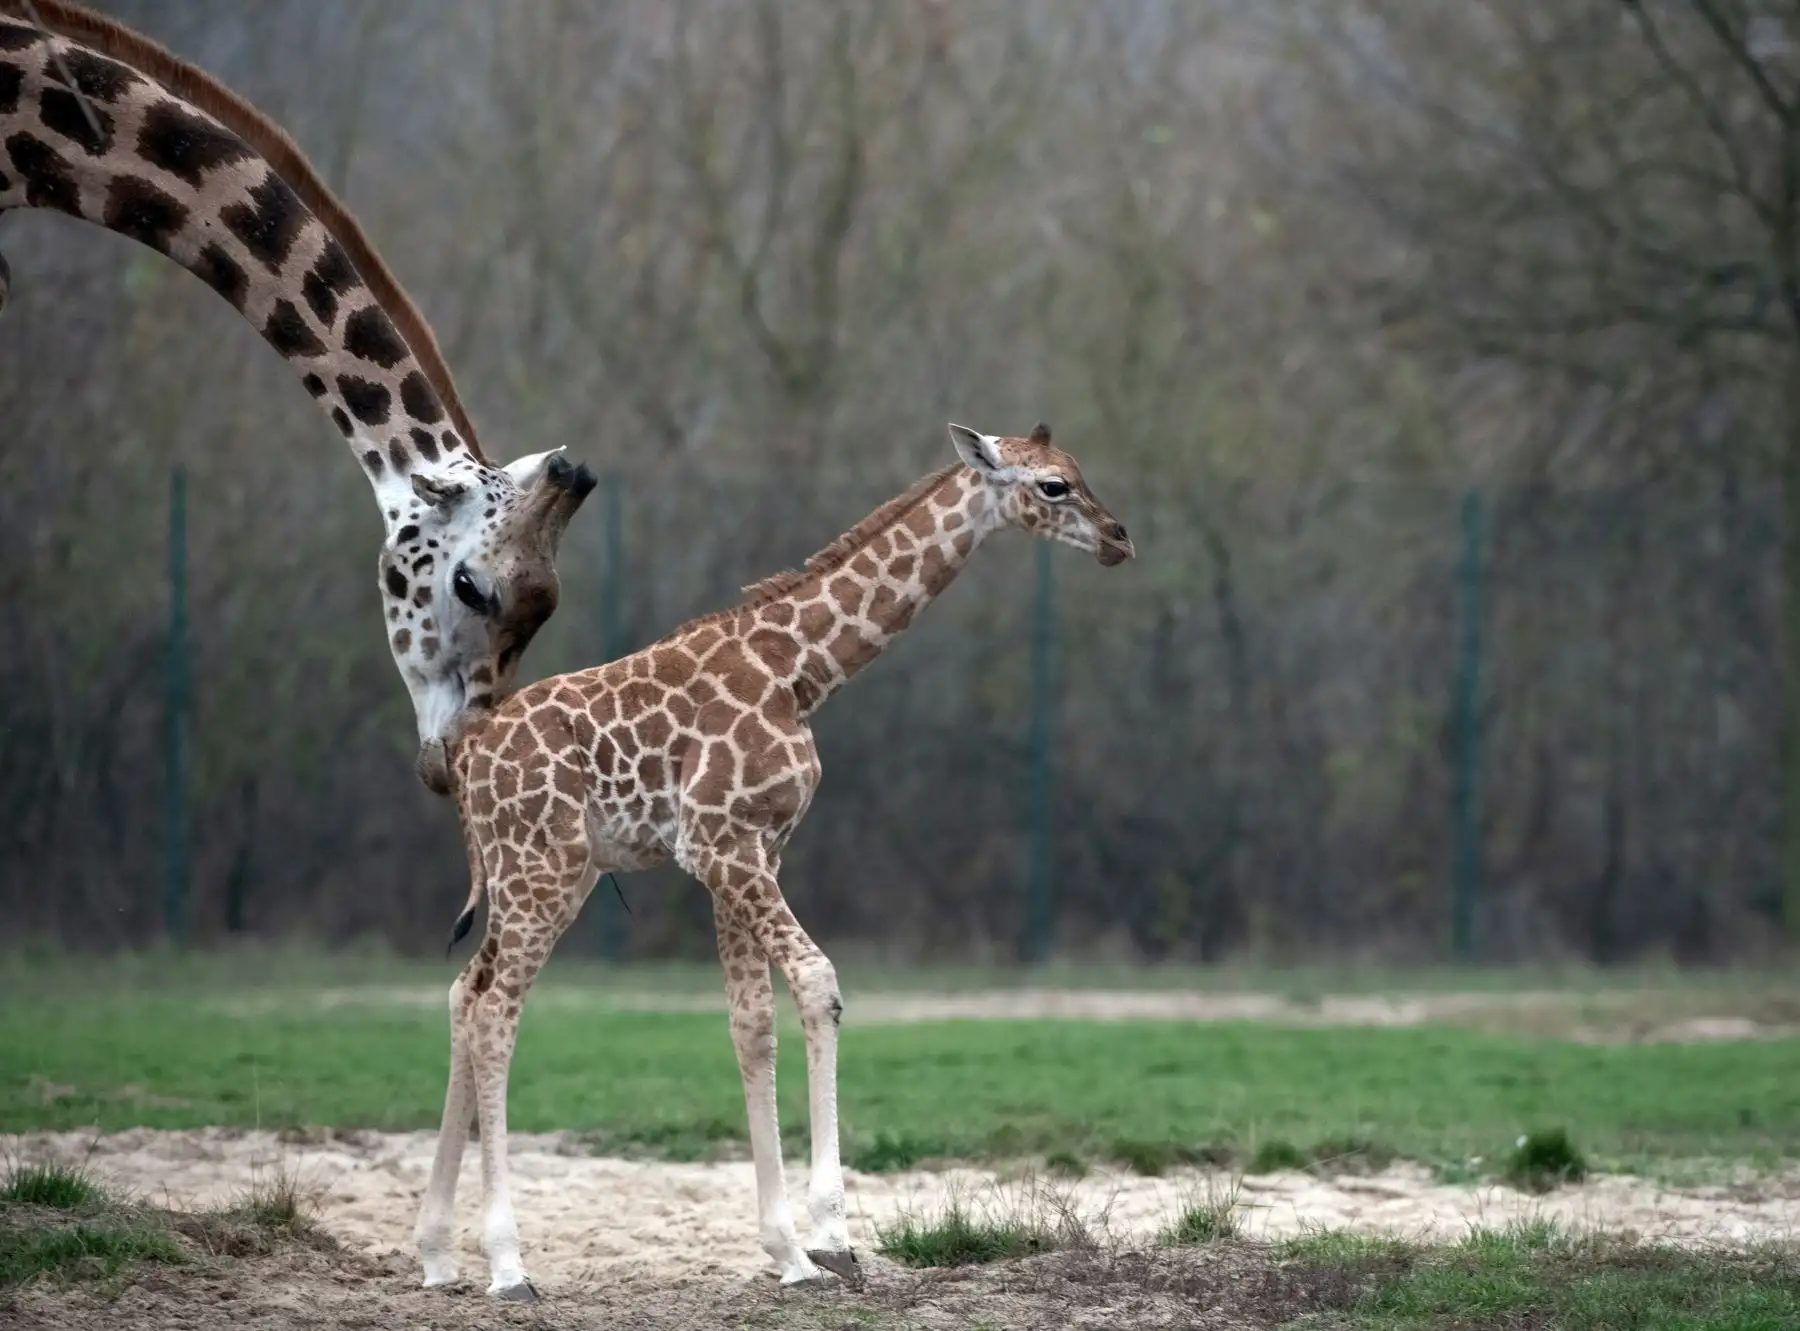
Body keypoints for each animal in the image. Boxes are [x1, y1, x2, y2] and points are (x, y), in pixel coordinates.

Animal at [416, 422, 1135, 1299]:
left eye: (1077, 473)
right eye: (1053, 485)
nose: (1118, 538)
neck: (799, 667)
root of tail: (468, 760)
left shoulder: (755, 845)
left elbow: (751, 1020)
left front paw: (789, 1250)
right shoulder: (718, 841)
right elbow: (819, 983)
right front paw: (830, 1237)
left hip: (548, 871)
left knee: (464, 990)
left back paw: (436, 1252)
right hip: (542, 866)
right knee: (495, 1014)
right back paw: (507, 1263)